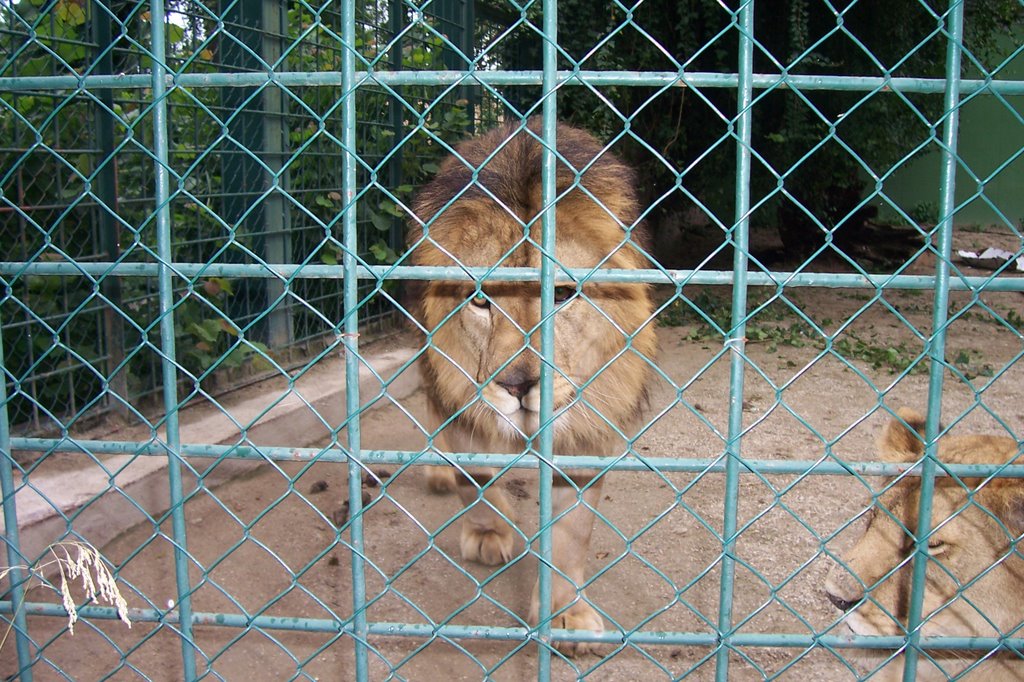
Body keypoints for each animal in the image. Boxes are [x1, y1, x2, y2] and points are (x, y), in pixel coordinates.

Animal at [403, 119, 651, 651]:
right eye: (480, 299)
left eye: (562, 294)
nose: (517, 387)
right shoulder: (465, 397)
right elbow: (474, 478)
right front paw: (488, 535)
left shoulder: (585, 432)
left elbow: (571, 531)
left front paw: (565, 615)